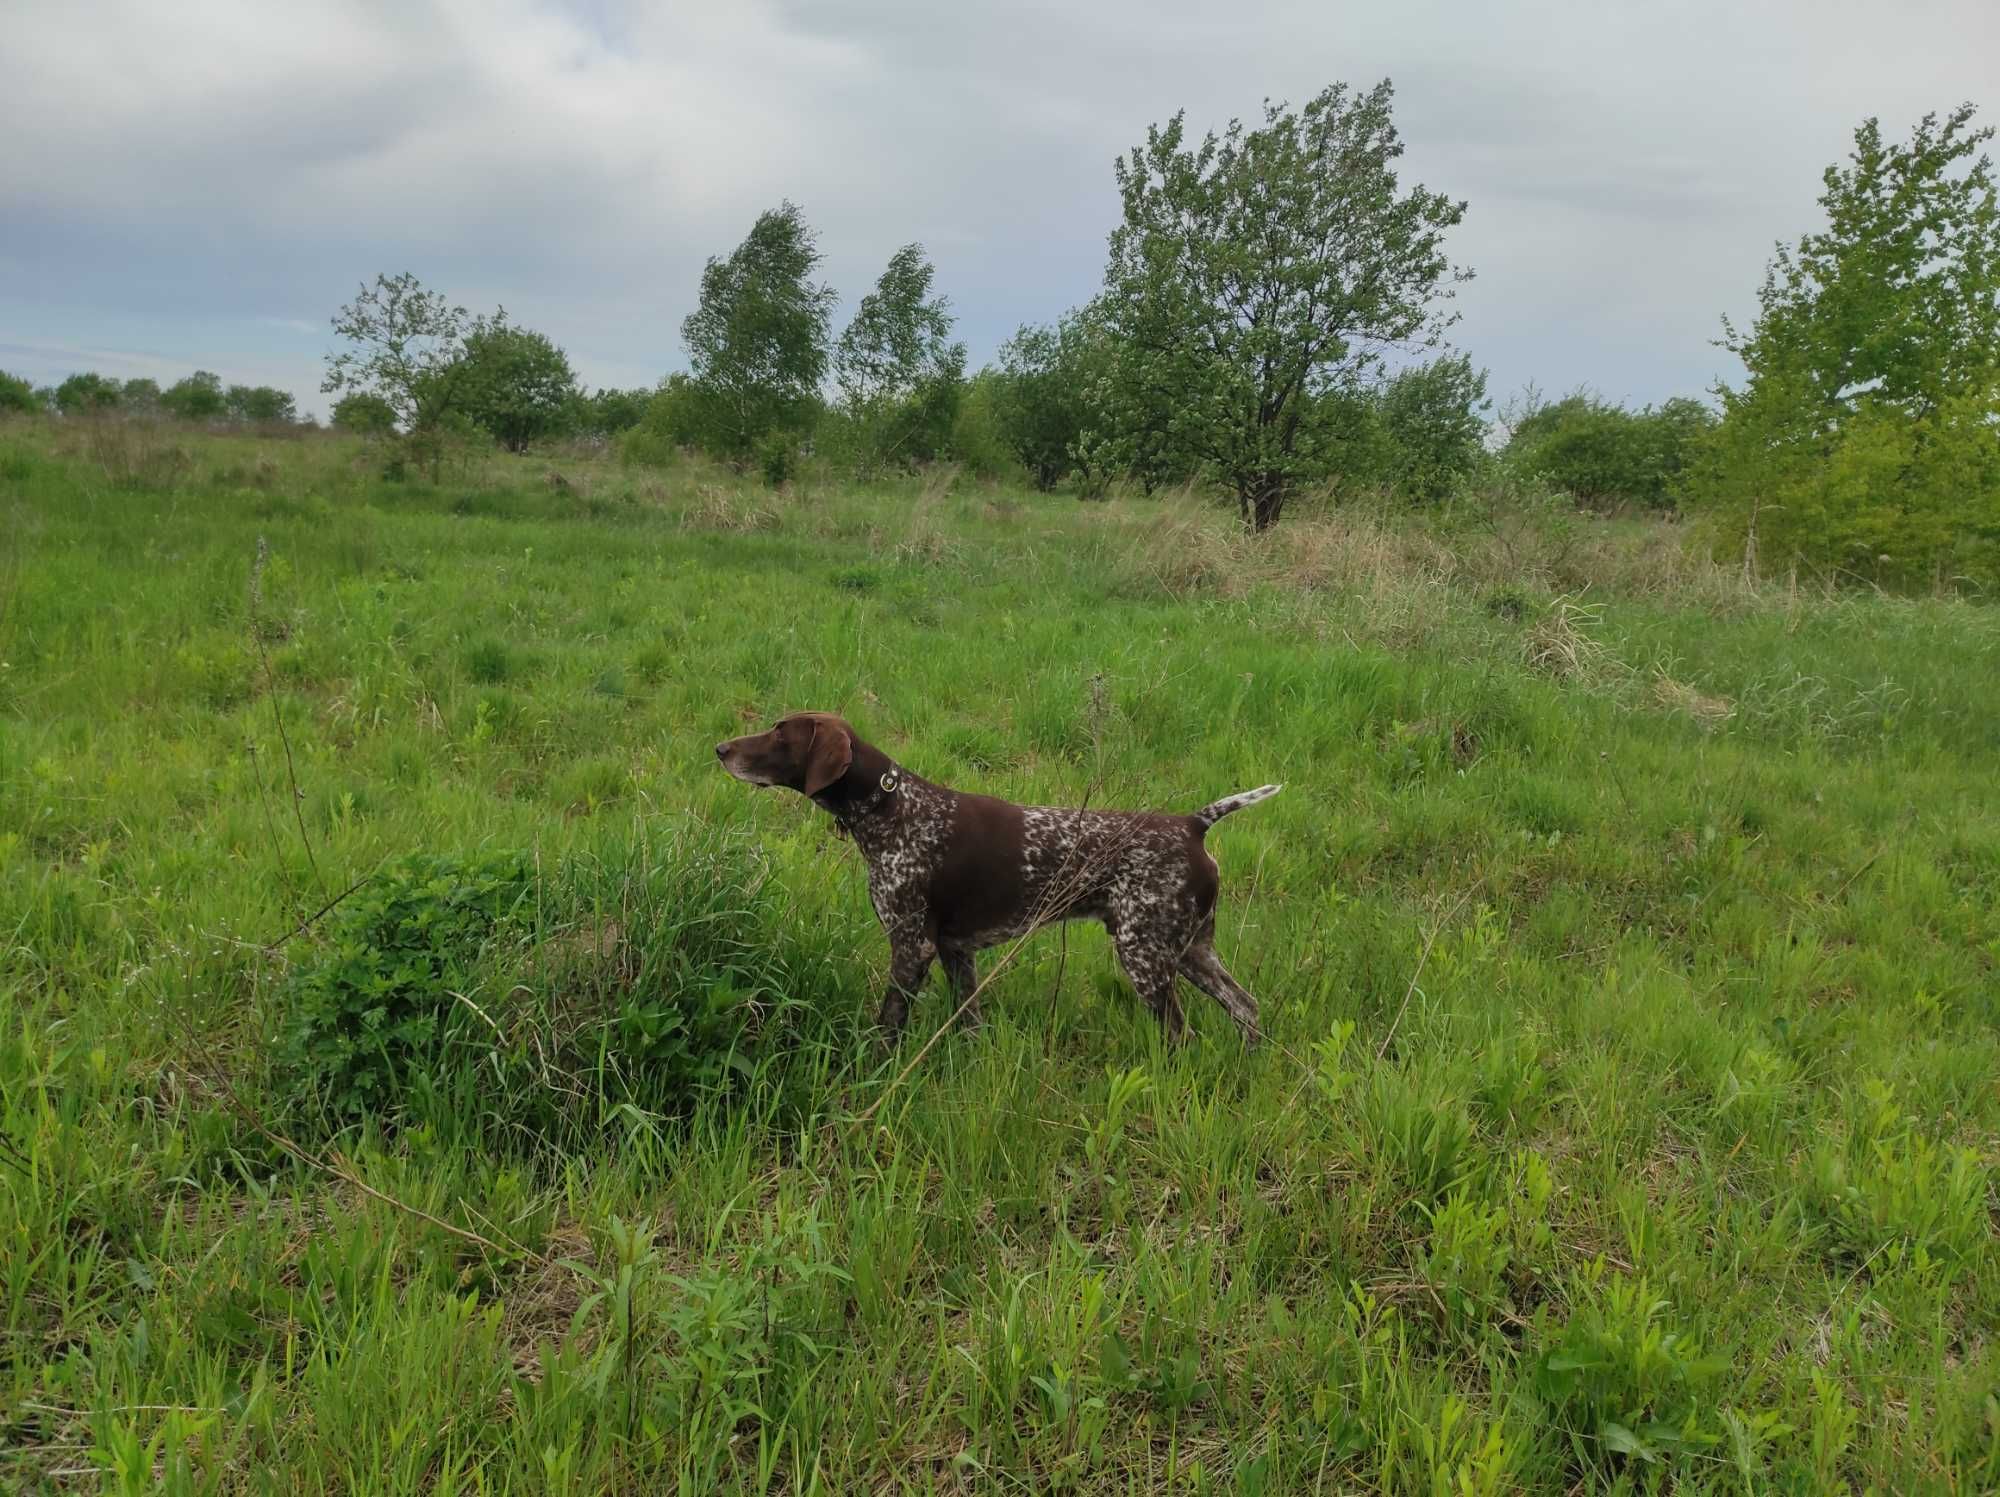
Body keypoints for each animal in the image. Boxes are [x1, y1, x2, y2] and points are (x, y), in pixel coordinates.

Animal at [720, 712, 1280, 1040]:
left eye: (779, 734)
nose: (721, 749)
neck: (891, 808)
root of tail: (1193, 824)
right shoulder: (955, 951)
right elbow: (969, 1021)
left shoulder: (911, 946)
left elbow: (889, 1026)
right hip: (1190, 951)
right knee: (1247, 1006)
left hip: (1145, 954)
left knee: (1180, 1032)